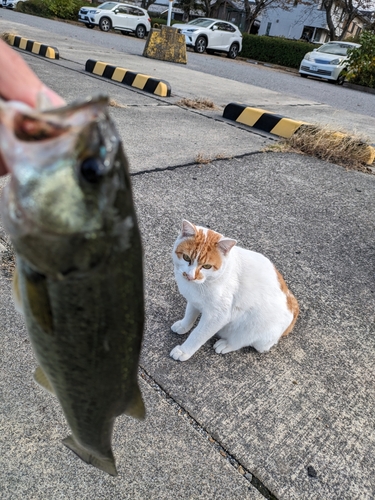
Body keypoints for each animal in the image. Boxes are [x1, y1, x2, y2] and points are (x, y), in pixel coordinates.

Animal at [171, 221, 300, 362]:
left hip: (253, 327)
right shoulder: (194, 300)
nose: (190, 276)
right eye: (186, 258)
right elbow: (189, 314)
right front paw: (183, 325)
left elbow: (197, 335)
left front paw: (184, 351)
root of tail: (292, 307)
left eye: (206, 266)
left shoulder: (217, 316)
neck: (202, 284)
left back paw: (227, 344)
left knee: (245, 341)